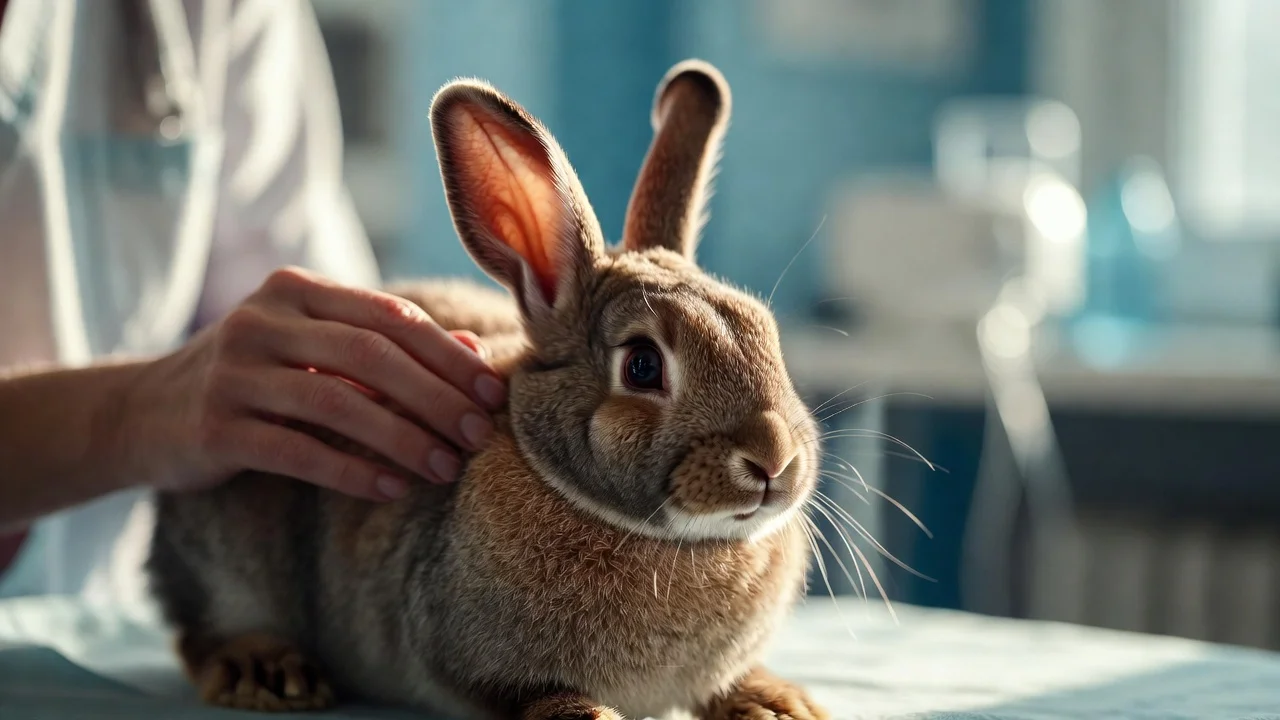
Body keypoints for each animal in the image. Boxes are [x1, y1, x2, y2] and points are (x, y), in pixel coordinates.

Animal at [146, 59, 829, 720]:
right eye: (641, 366)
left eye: (766, 334)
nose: (774, 462)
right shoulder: (474, 662)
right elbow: (537, 696)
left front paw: (777, 705)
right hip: (226, 551)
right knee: (198, 631)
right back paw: (263, 668)